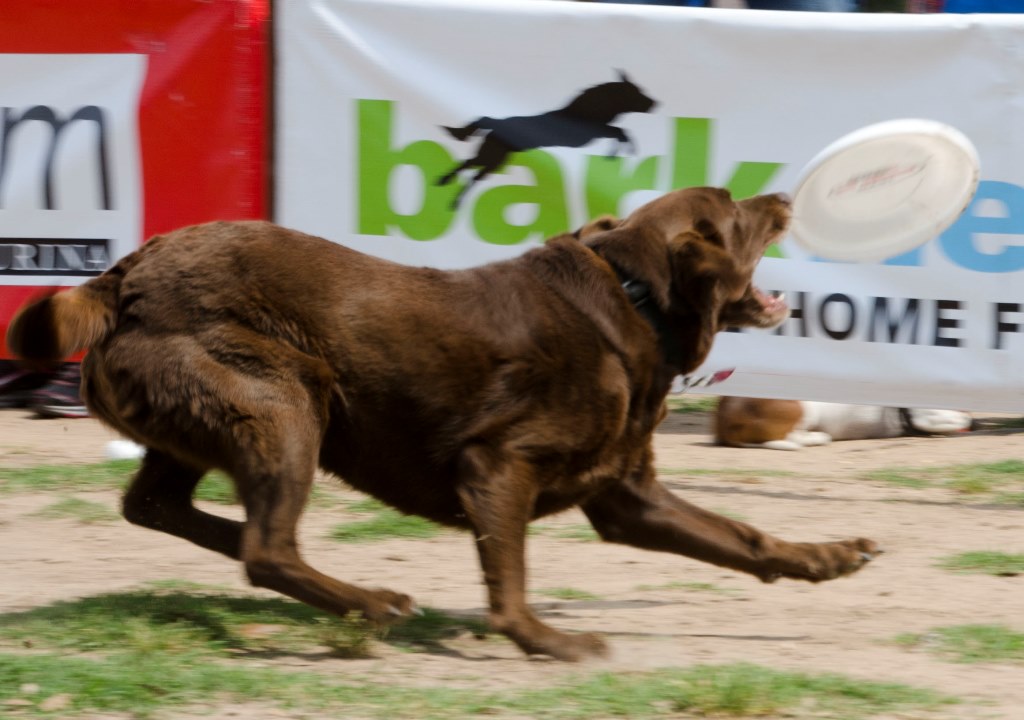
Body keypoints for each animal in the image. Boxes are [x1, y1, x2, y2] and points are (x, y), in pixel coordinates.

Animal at [7, 187, 880, 661]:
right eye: (733, 209)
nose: (784, 196)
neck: (633, 299)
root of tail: (122, 276)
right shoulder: (496, 466)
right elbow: (510, 577)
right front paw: (550, 642)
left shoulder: (628, 496)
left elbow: (743, 537)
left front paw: (830, 556)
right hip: (286, 403)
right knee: (267, 547)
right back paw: (370, 602)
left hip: (219, 418)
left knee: (163, 508)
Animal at [438, 71, 657, 208]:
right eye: (636, 92)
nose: (655, 103)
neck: (584, 112)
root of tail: (495, 128)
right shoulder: (590, 134)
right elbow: (621, 132)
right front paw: (620, 152)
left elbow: (620, 132)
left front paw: (616, 154)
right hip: (493, 157)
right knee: (472, 166)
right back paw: (451, 191)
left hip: (493, 158)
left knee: (470, 166)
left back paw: (446, 187)